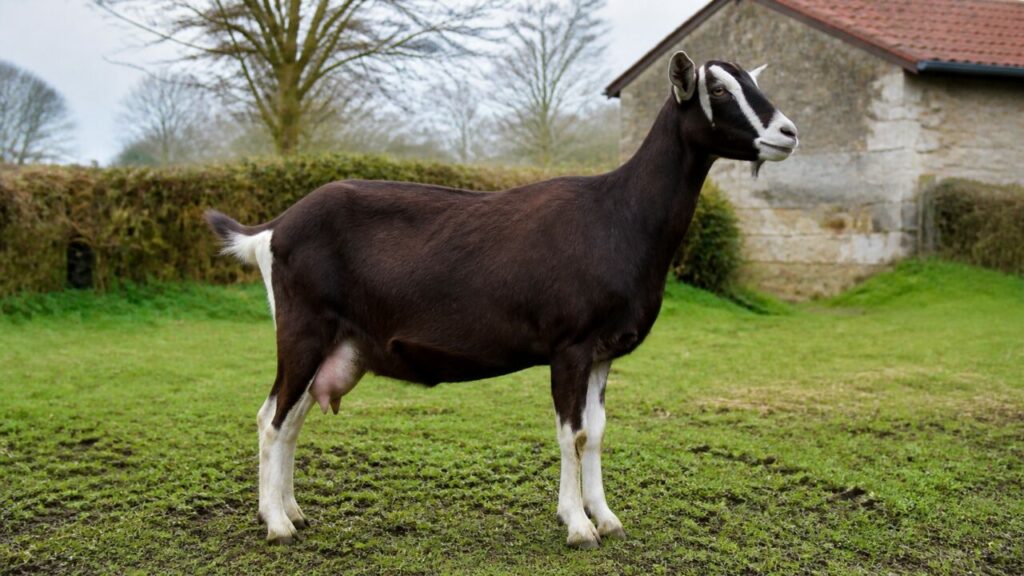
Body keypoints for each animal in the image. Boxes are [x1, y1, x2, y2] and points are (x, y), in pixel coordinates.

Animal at [206, 51, 798, 549]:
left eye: (752, 82)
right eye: (717, 89)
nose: (788, 133)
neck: (619, 215)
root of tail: (273, 230)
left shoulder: (604, 351)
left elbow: (597, 433)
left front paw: (606, 518)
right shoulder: (570, 345)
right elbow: (572, 433)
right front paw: (578, 526)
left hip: (337, 344)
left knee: (292, 419)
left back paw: (291, 510)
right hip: (302, 328)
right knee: (272, 418)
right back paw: (277, 524)